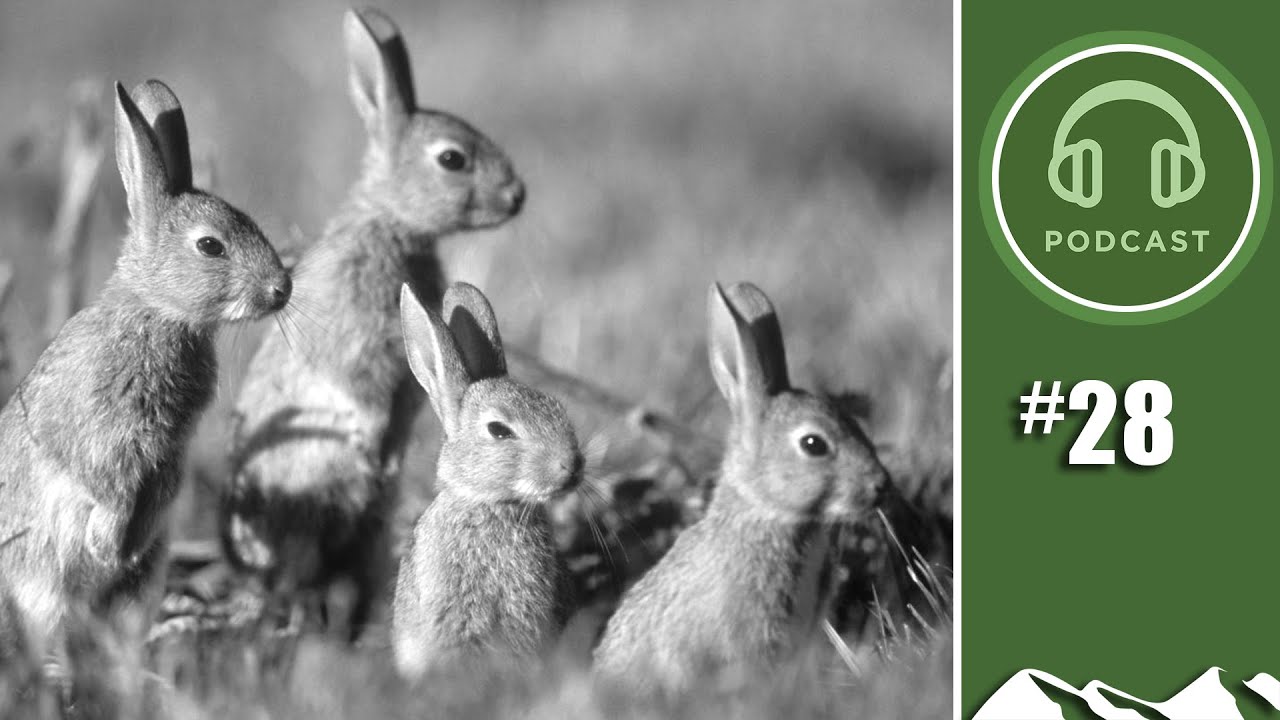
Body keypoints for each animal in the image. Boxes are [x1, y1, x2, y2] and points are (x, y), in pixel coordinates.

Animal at [0, 80, 290, 653]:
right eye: (210, 245)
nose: (282, 288)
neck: (158, 311)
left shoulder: (168, 452)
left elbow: (158, 494)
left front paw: (120, 551)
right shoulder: (108, 437)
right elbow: (106, 486)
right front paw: (107, 545)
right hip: (37, 576)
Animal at [219, 7, 525, 640]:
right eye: (453, 159)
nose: (518, 196)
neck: (391, 223)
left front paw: (388, 452)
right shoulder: (353, 333)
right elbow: (357, 385)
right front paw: (374, 444)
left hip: (367, 531)